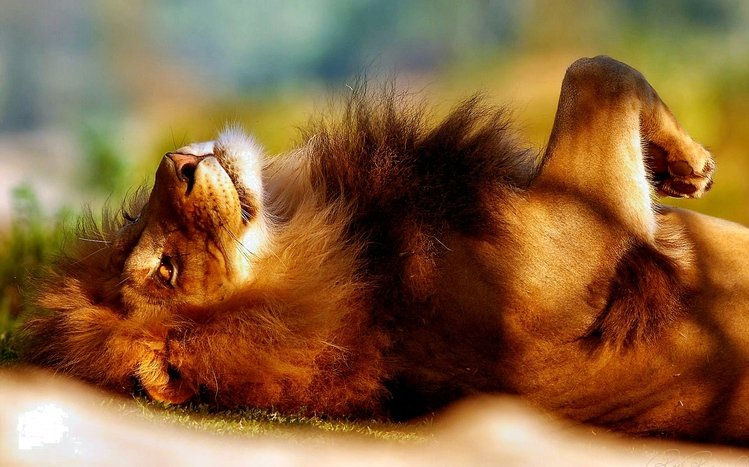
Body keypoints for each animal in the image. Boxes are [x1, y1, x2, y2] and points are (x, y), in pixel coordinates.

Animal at [21, 56, 749, 444]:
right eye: (165, 270)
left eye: (138, 228)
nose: (176, 162)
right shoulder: (597, 221)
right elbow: (596, 74)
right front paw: (689, 164)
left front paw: (678, 167)